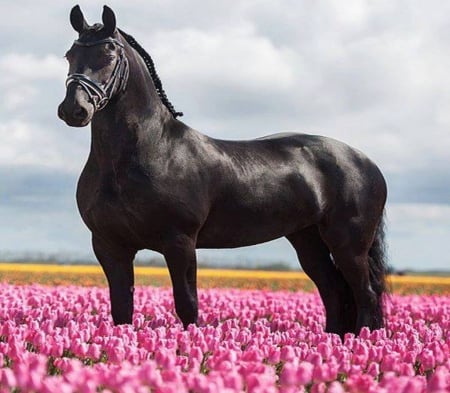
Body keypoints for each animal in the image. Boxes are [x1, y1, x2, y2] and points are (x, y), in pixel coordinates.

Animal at [58, 5, 388, 336]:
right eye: (70, 54)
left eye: (109, 55)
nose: (74, 110)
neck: (149, 151)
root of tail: (365, 162)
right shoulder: (110, 246)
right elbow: (121, 309)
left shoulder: (180, 243)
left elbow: (187, 304)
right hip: (308, 240)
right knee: (333, 291)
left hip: (349, 244)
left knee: (365, 295)